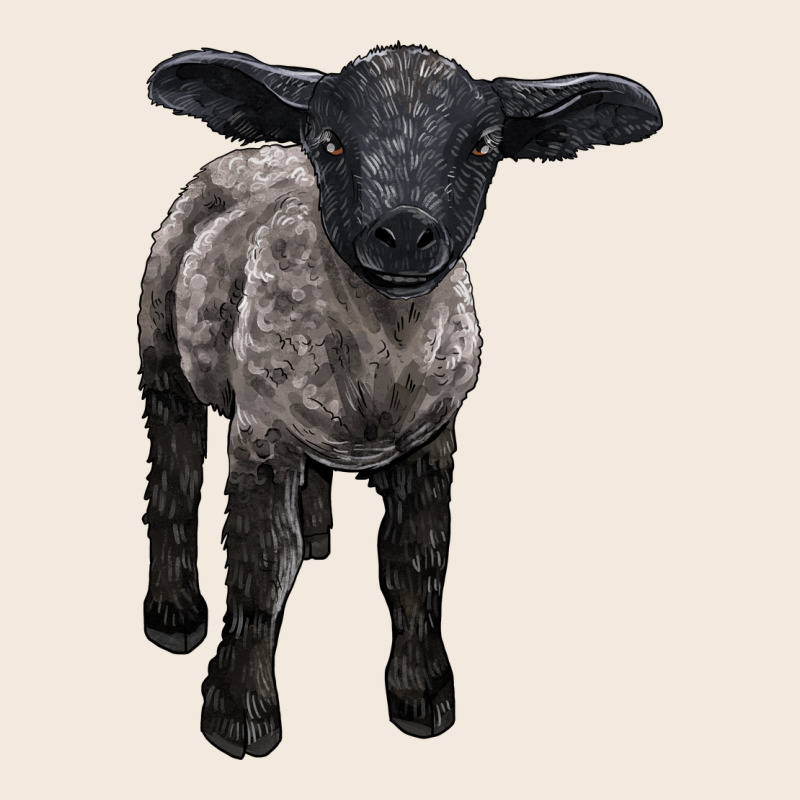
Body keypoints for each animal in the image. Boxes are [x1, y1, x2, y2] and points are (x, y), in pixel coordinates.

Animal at [140, 44, 662, 759]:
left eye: (483, 146)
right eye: (330, 142)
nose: (408, 233)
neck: (379, 355)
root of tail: (258, 152)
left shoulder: (431, 442)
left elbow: (415, 563)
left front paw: (422, 695)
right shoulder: (260, 434)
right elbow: (261, 565)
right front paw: (239, 712)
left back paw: (318, 533)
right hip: (162, 349)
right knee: (175, 470)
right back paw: (173, 612)